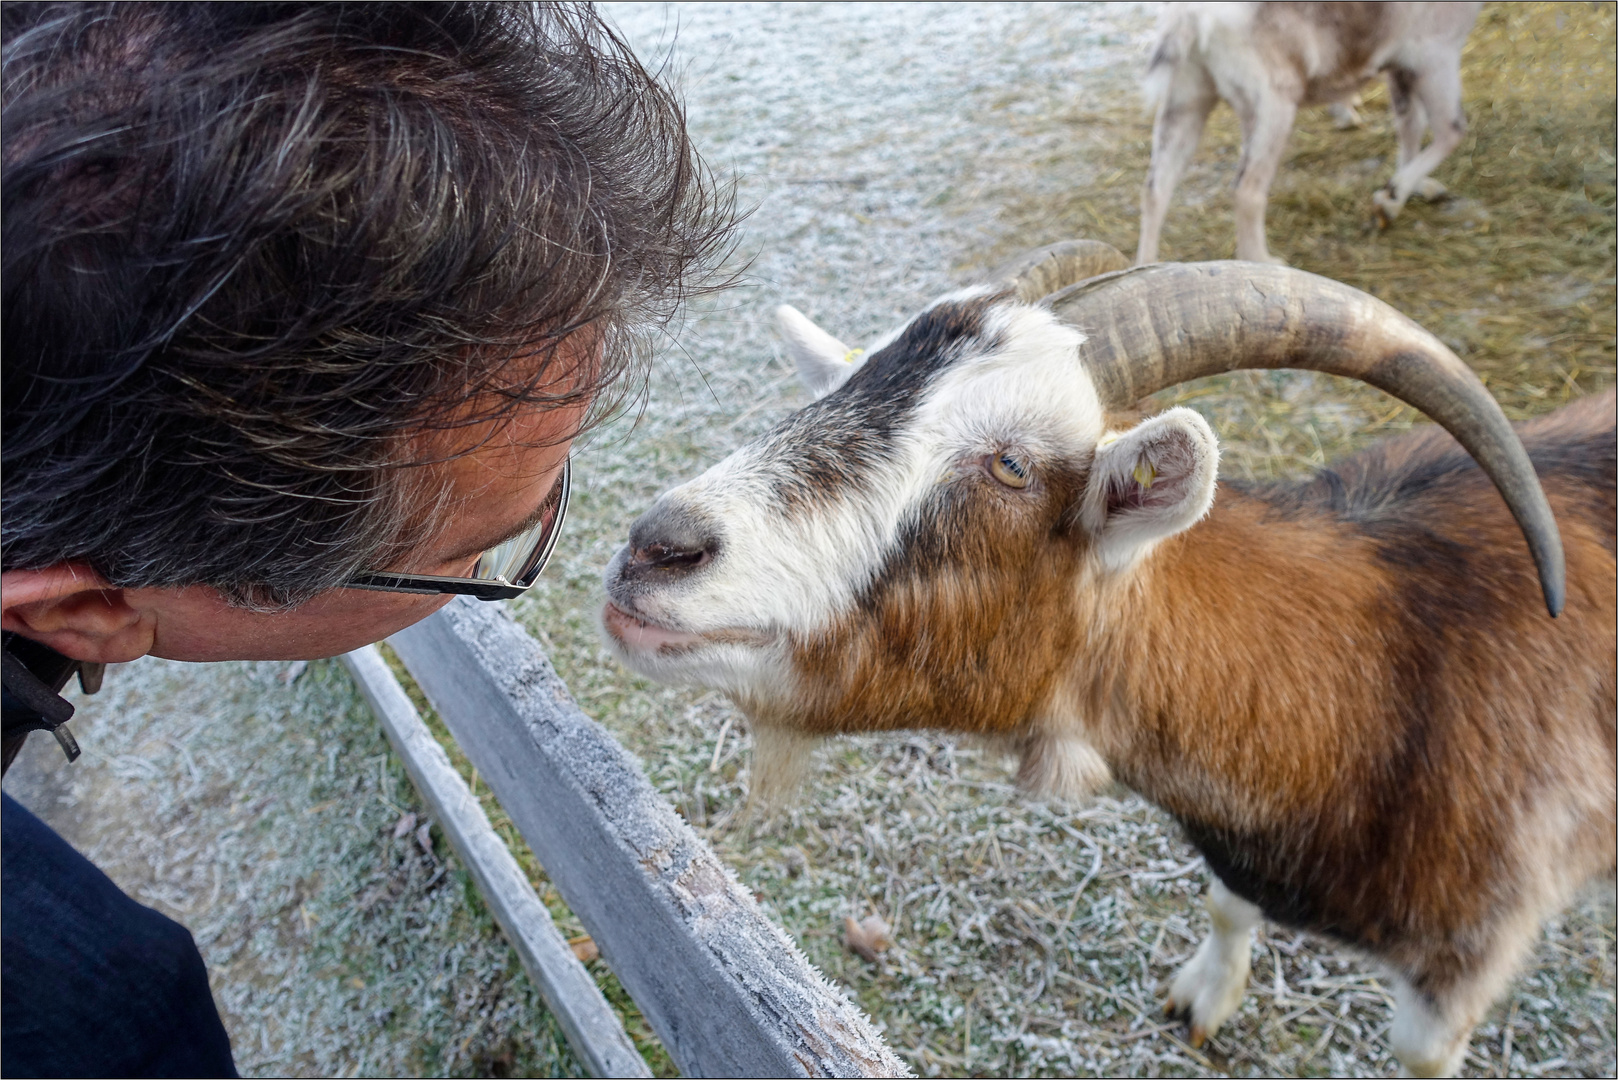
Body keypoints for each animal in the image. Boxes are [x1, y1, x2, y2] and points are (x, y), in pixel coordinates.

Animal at [601, 241, 1611, 1075]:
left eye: (1011, 465)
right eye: (845, 386)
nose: (659, 548)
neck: (1390, 682)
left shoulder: (1465, 961)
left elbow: (1421, 1049)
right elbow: (1226, 903)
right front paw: (1205, 999)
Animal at [1139, 3, 1482, 265]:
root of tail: (1190, 17)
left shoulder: (1401, 65)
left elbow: (1411, 124)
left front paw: (1407, 190)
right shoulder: (1434, 53)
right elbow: (1451, 130)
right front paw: (1390, 201)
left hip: (1187, 96)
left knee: (1157, 187)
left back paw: (1146, 269)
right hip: (1270, 104)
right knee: (1246, 189)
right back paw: (1262, 261)